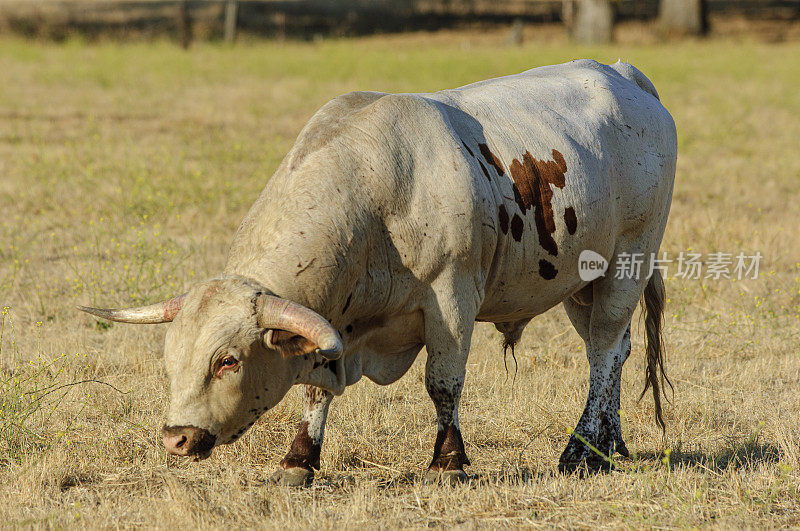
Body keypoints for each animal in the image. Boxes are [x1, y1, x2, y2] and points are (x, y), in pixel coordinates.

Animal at [81, 59, 680, 486]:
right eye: (170, 358)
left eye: (227, 360)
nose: (176, 439)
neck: (376, 191)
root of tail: (625, 76)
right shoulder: (333, 325)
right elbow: (316, 390)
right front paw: (300, 458)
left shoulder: (452, 300)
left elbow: (443, 383)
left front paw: (447, 461)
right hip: (583, 282)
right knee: (615, 351)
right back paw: (610, 443)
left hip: (629, 261)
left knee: (603, 351)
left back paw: (582, 452)